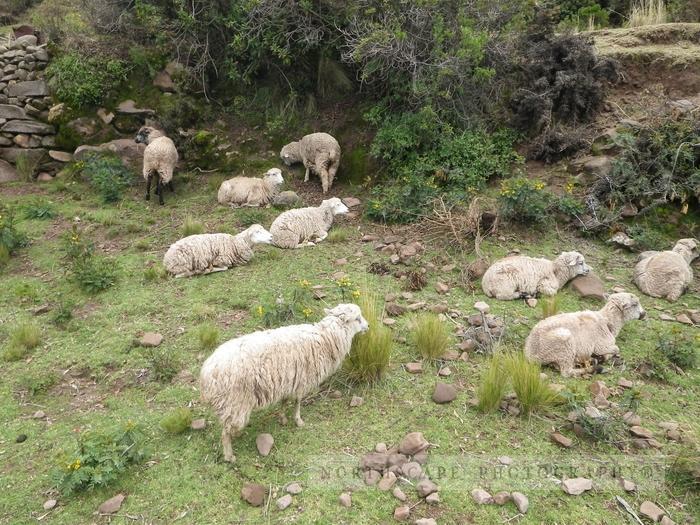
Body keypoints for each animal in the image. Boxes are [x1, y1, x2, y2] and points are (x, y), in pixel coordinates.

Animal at [198, 300, 370, 460]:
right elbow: (298, 402)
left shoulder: (288, 380)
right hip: (235, 401)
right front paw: (298, 420)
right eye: (357, 318)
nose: (368, 326)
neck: (326, 337)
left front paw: (282, 418)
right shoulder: (302, 380)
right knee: (225, 433)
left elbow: (285, 400)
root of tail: (207, 373)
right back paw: (230, 456)